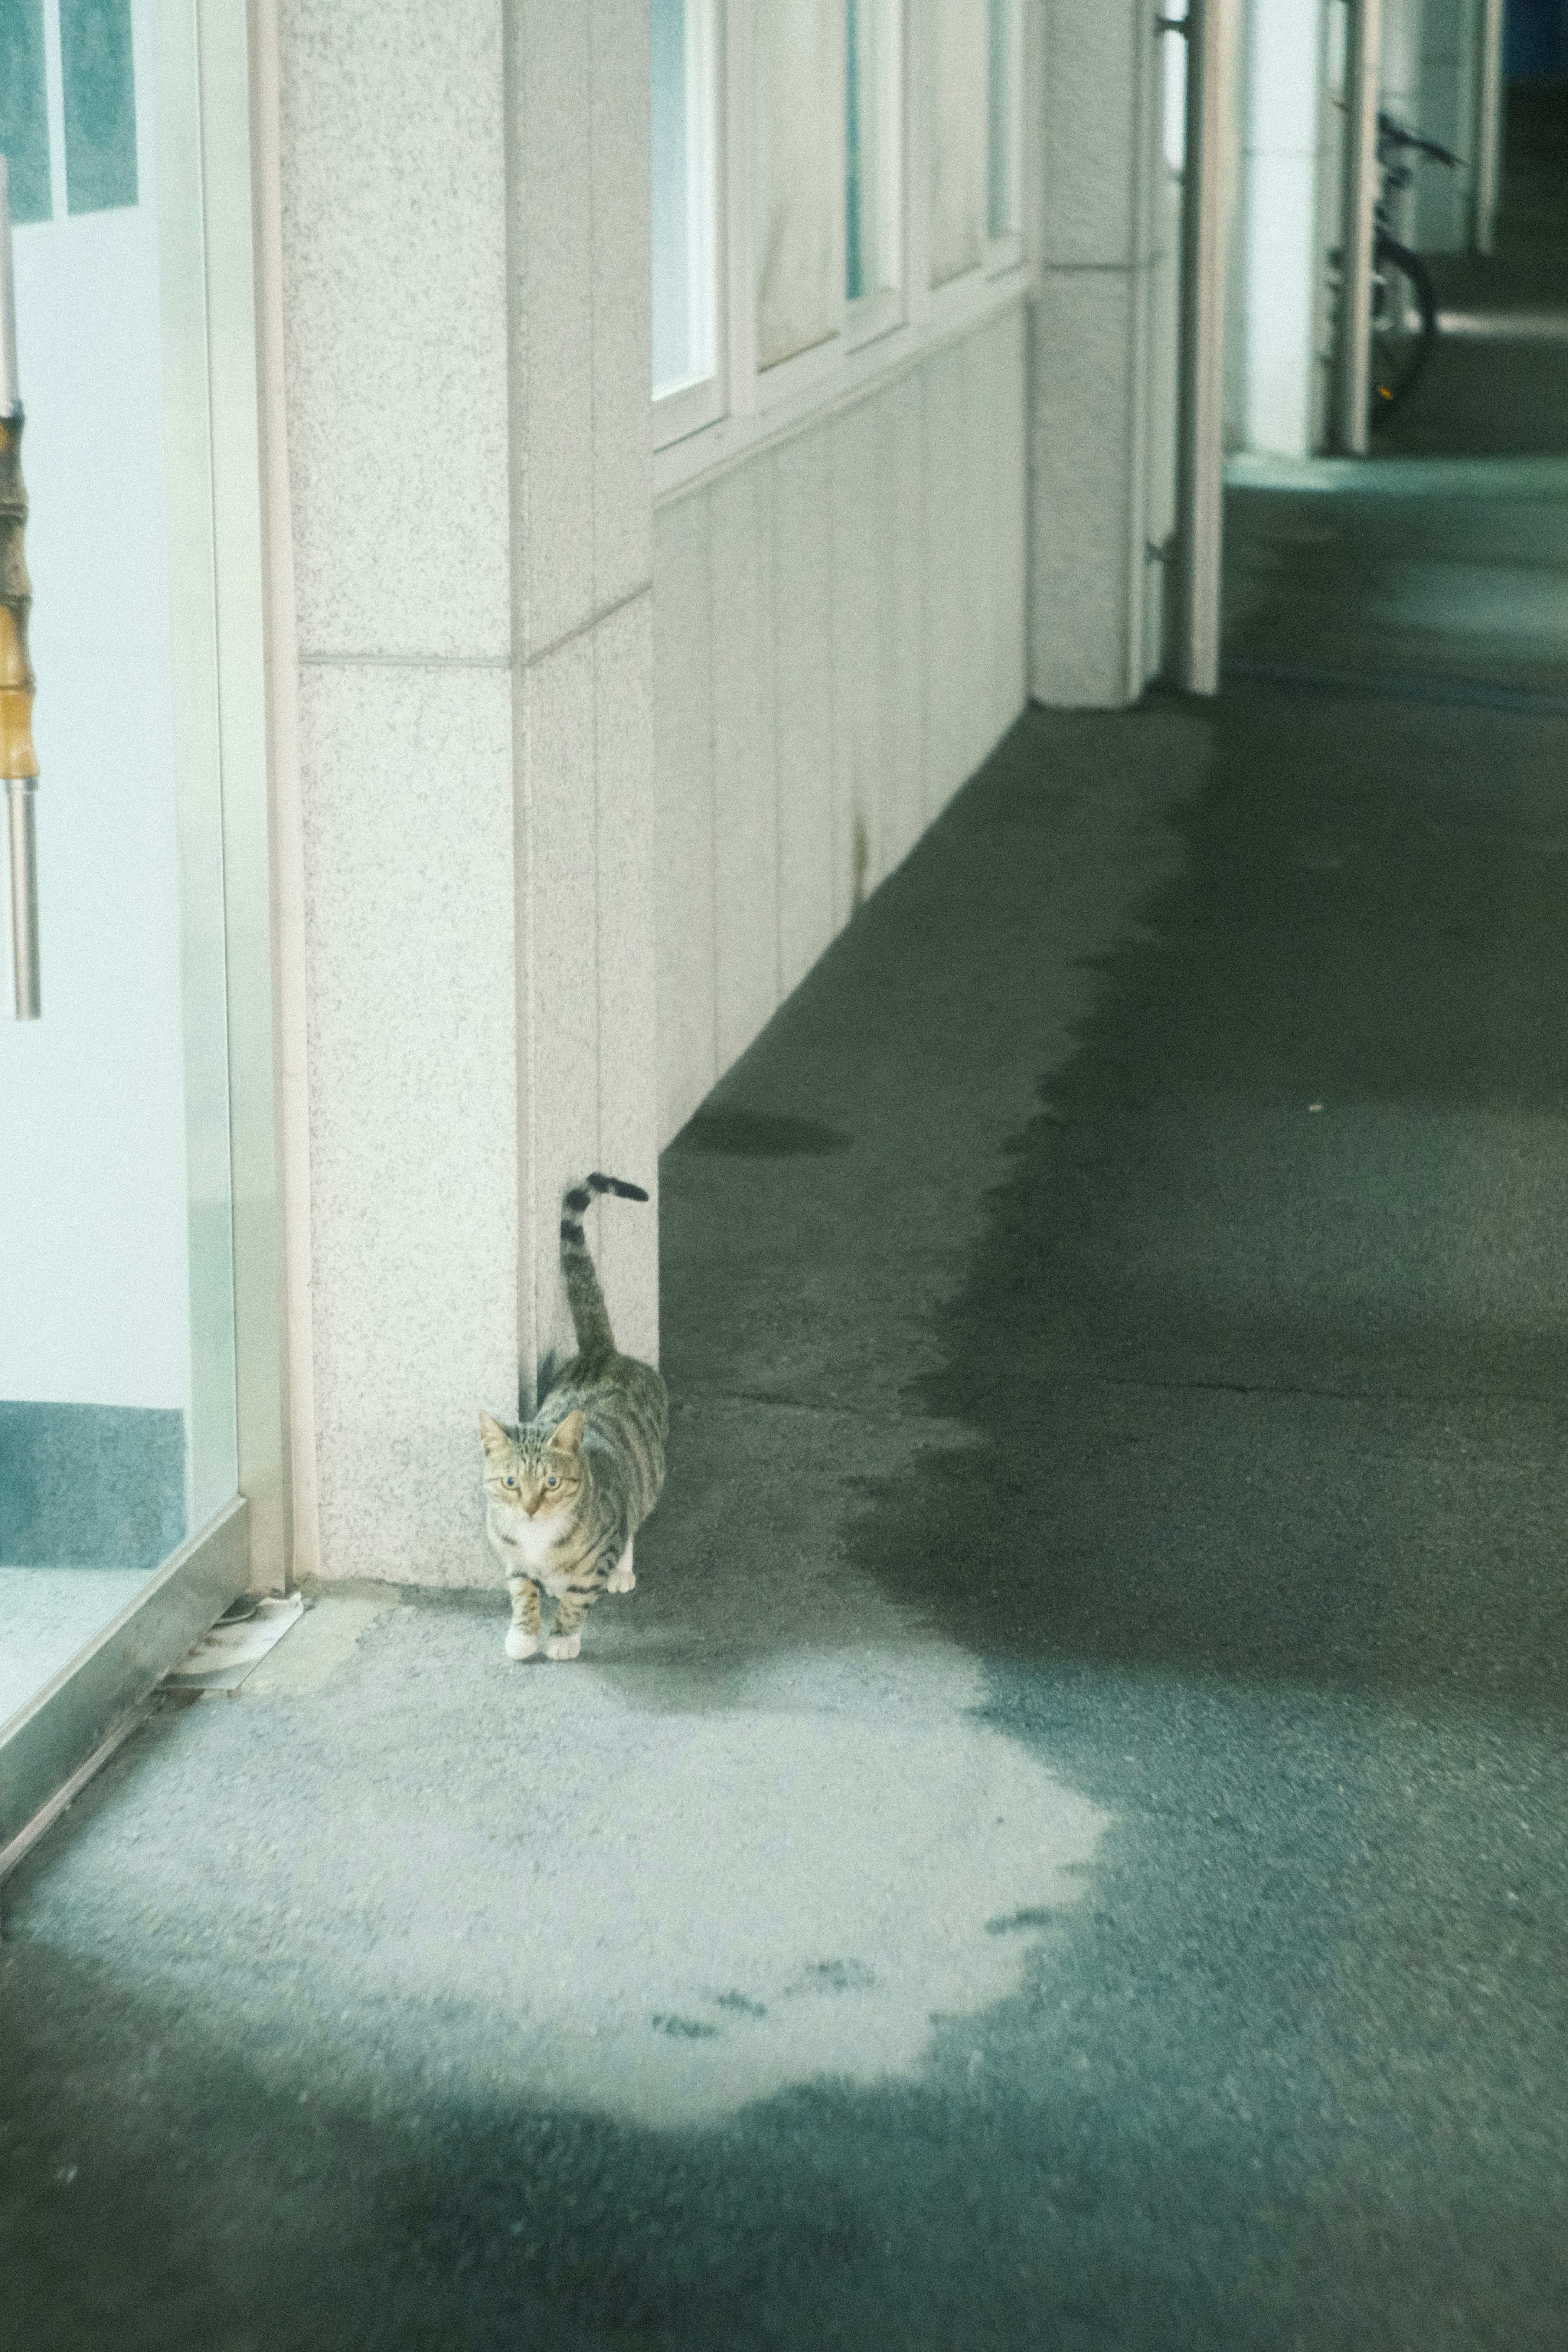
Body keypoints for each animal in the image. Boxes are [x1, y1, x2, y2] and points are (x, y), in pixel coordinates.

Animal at [474, 1171, 668, 1656]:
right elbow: (522, 1590)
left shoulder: (603, 1540)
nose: (529, 1509)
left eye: (553, 1483)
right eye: (510, 1482)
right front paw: (524, 1634)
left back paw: (621, 1571)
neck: (537, 1540)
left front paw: (562, 1638)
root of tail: (602, 1354)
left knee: (635, 1513)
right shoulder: (509, 1552)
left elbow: (580, 1598)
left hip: (646, 1476)